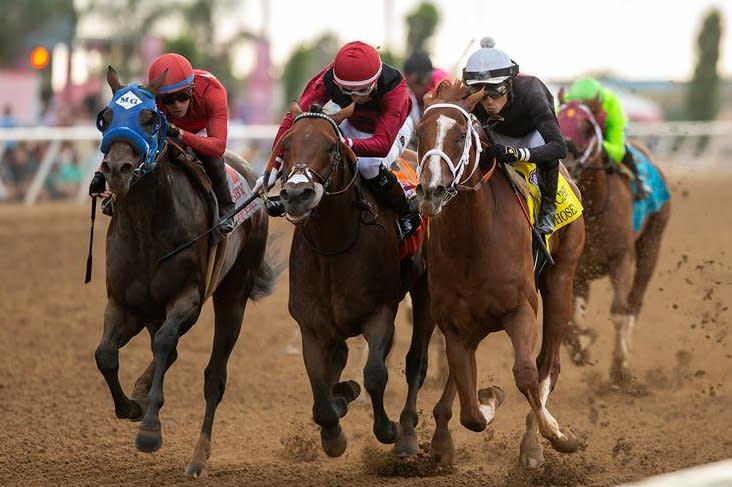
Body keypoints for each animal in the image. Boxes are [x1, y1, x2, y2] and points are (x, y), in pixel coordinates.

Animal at [92, 67, 274, 476]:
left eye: (149, 118)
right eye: (106, 117)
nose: (116, 170)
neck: (146, 228)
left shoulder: (187, 297)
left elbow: (164, 344)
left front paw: (150, 429)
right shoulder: (122, 301)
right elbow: (105, 354)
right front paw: (131, 405)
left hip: (232, 296)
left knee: (213, 376)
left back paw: (198, 457)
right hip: (151, 310)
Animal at [414, 82, 588, 470]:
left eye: (461, 134)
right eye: (420, 133)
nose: (432, 190)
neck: (473, 241)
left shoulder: (521, 309)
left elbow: (525, 374)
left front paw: (557, 437)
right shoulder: (454, 323)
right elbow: (470, 408)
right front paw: (488, 398)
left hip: (561, 280)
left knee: (548, 365)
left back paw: (537, 439)